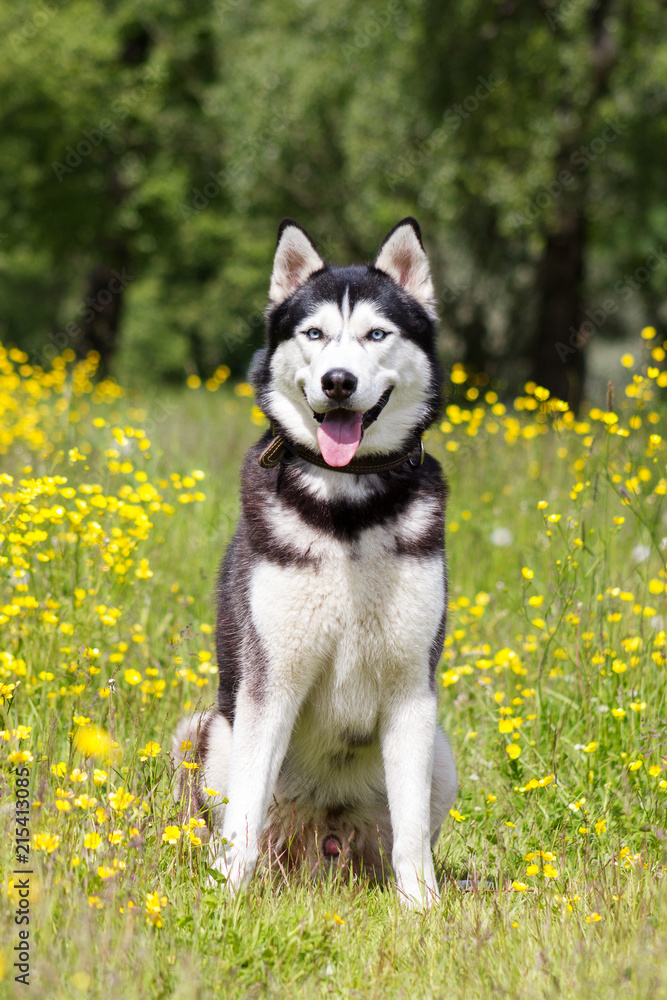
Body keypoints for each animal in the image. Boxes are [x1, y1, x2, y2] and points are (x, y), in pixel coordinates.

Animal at [174, 217, 460, 908]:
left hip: (442, 752)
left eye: (376, 334)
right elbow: (245, 815)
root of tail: (321, 845)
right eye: (314, 334)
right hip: (205, 732)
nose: (338, 381)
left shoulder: (412, 688)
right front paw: (227, 901)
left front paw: (423, 911)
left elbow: (413, 833)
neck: (347, 507)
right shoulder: (270, 680)